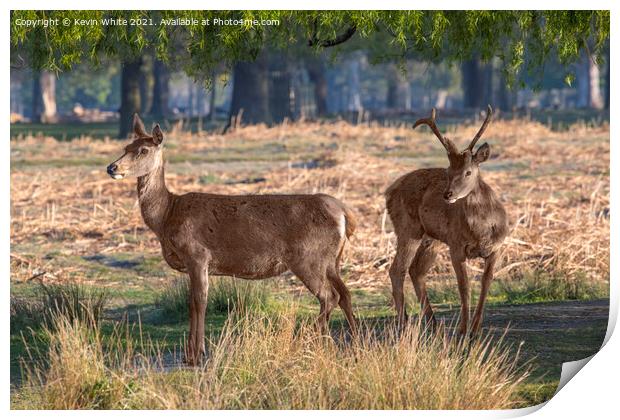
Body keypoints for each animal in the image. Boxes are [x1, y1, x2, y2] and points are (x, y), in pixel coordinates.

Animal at [107, 115, 358, 364]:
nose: (112, 167)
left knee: (329, 296)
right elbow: (192, 302)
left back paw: (307, 340)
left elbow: (198, 301)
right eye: (126, 147)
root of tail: (344, 213)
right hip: (331, 260)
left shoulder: (197, 254)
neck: (167, 216)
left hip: (308, 257)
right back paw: (353, 343)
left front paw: (196, 354)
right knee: (345, 294)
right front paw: (192, 353)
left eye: (143, 150)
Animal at [388, 106, 508, 336]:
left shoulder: (497, 247)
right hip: (407, 228)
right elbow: (464, 286)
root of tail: (388, 192)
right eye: (448, 171)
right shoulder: (456, 245)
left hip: (431, 238)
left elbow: (486, 284)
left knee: (416, 270)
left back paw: (432, 323)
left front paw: (476, 329)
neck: (481, 231)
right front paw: (463, 329)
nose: (448, 194)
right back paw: (403, 323)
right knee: (397, 269)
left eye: (468, 172)